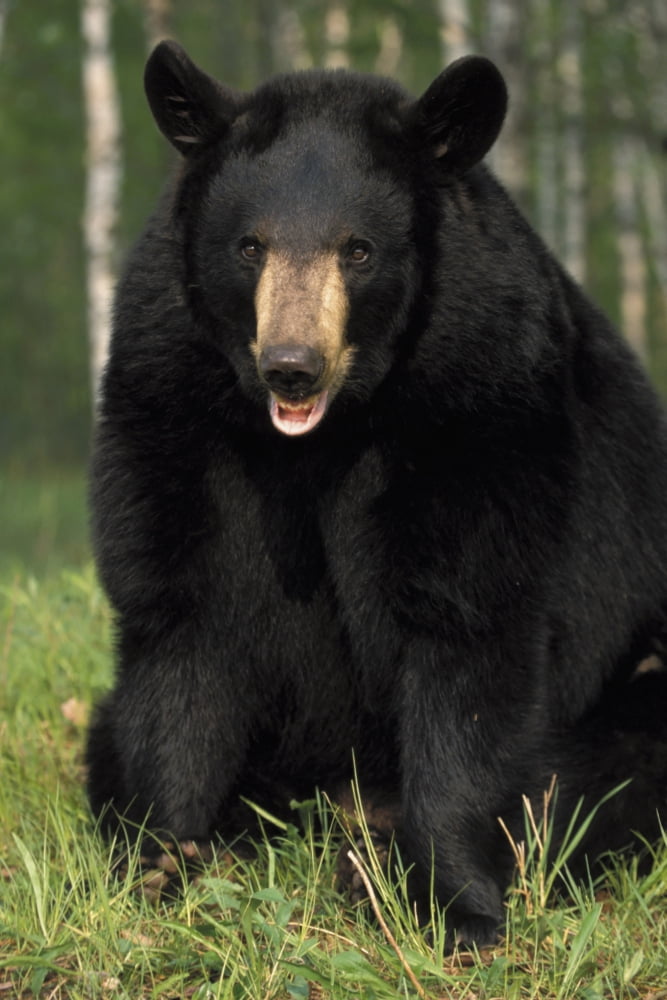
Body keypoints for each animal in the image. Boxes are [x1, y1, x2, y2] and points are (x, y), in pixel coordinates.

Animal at [87, 39, 667, 947]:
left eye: (357, 250)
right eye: (249, 246)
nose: (291, 365)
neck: (326, 432)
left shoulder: (483, 394)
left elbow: (465, 627)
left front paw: (456, 909)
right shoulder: (170, 397)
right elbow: (180, 617)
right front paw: (156, 870)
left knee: (605, 775)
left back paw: (371, 862)